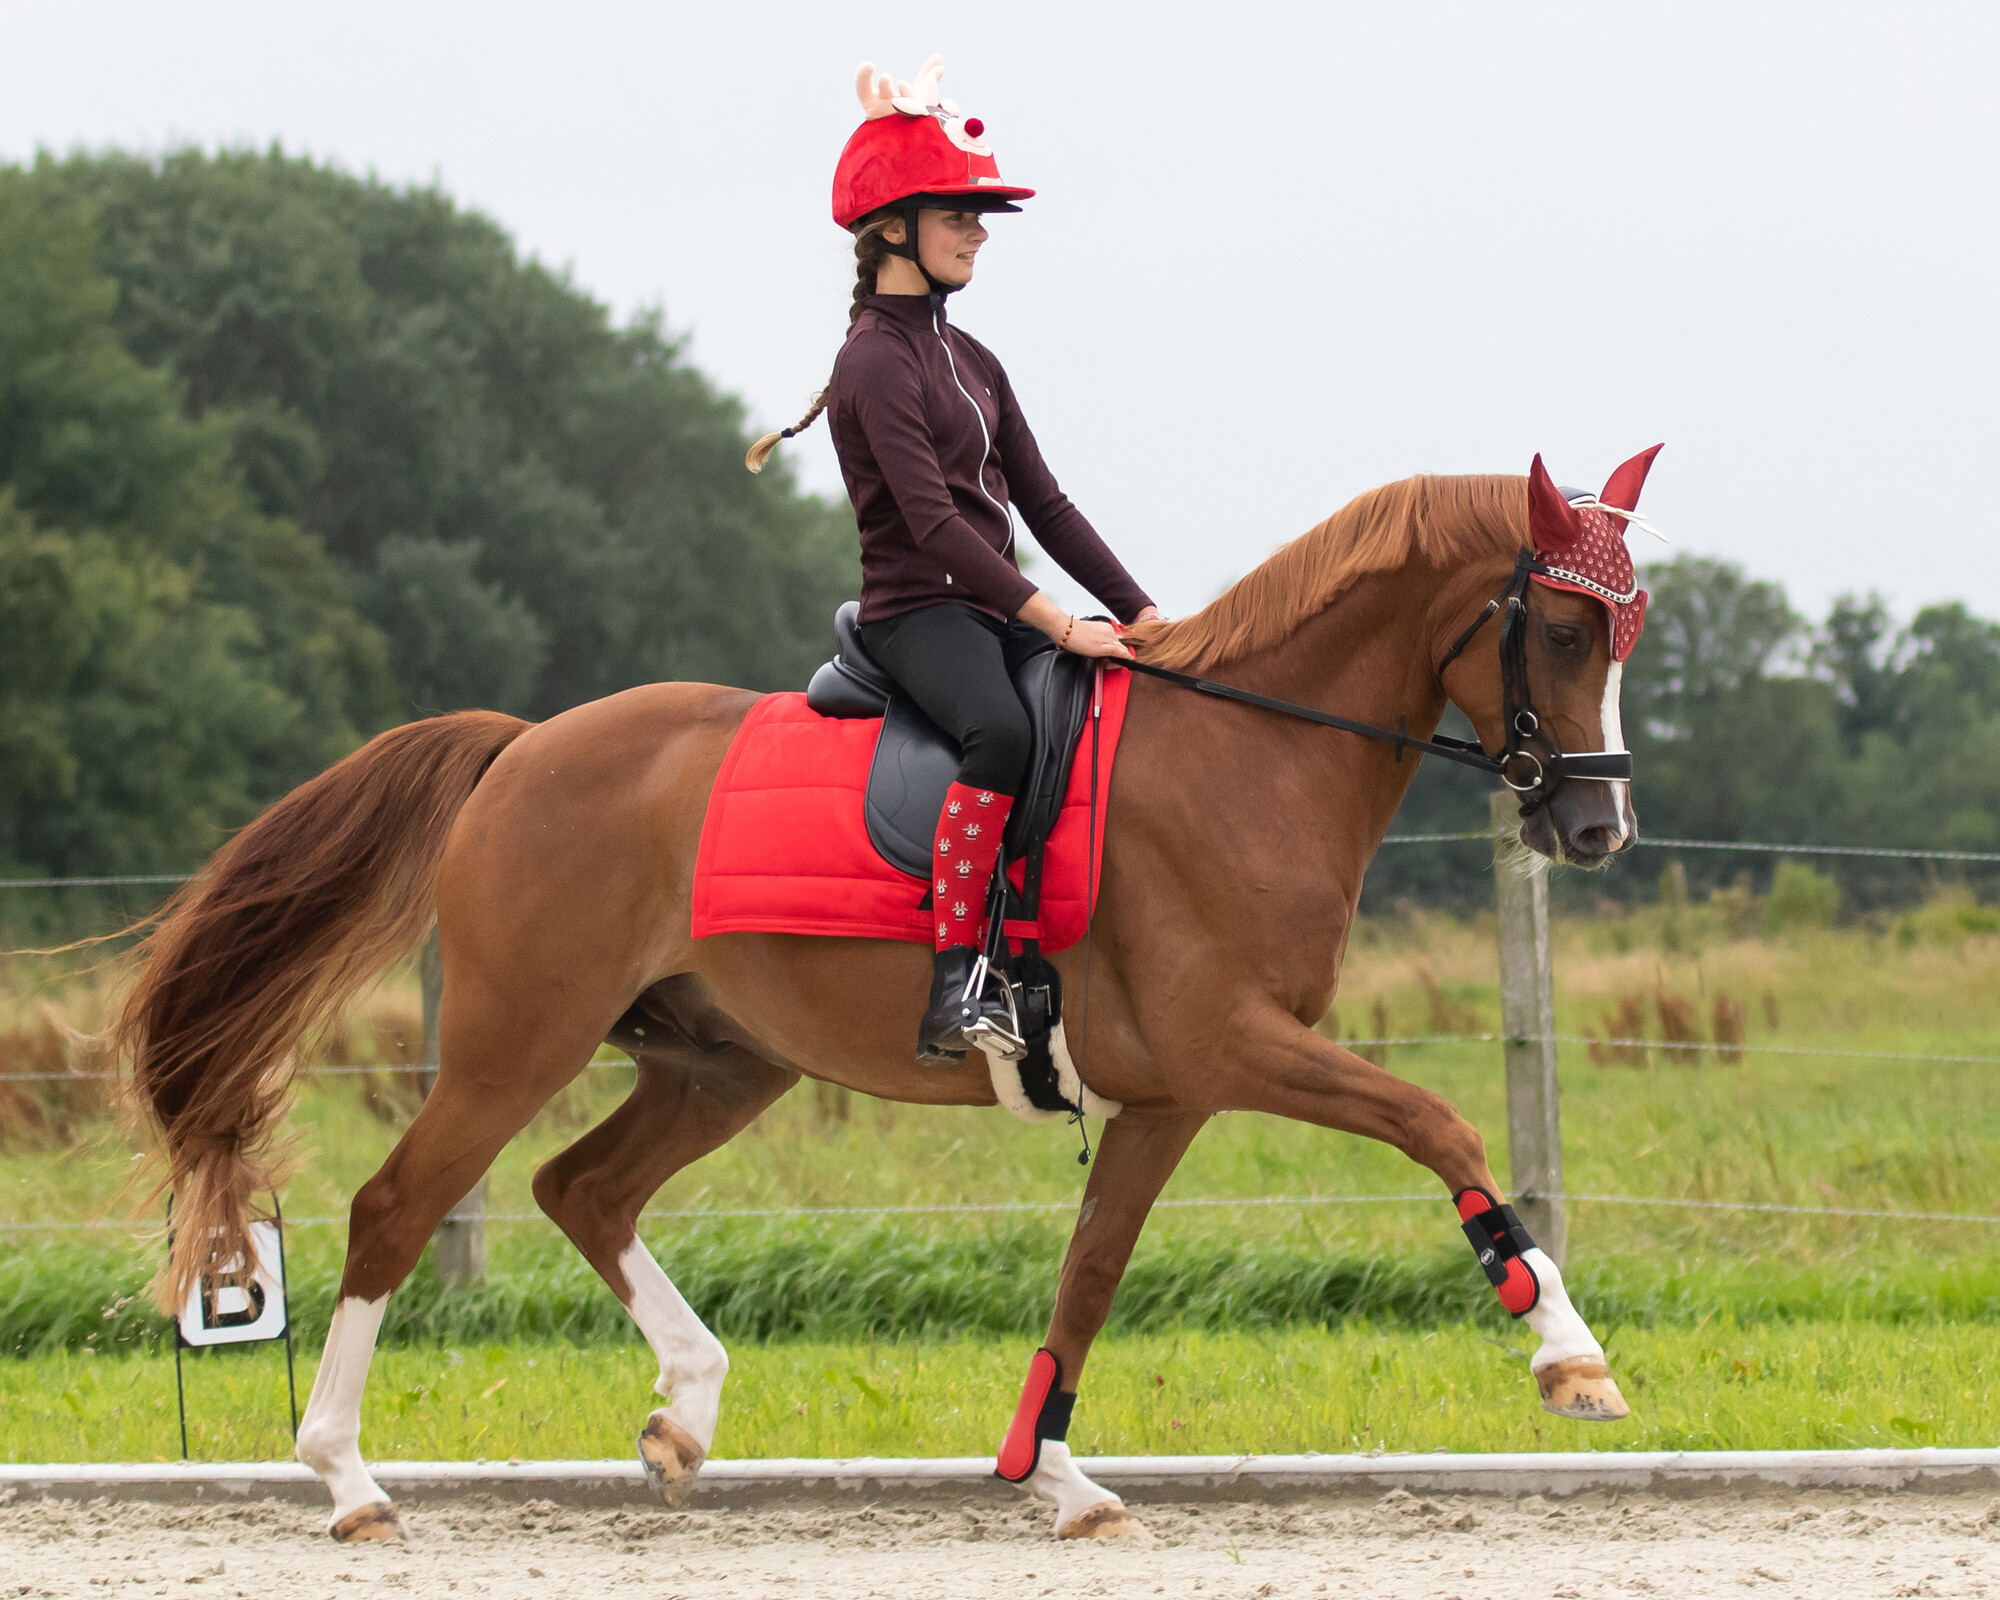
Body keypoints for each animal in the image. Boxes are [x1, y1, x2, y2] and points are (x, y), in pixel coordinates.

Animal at [121, 468, 1640, 1544]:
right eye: (1566, 629)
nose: (1597, 828)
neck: (1247, 753)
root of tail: (521, 747)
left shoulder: (1167, 1095)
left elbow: (1090, 1272)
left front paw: (1054, 1474)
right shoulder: (1234, 1046)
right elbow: (1436, 1122)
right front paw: (1565, 1351)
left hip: (722, 1064)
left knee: (581, 1188)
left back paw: (684, 1412)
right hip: (517, 1041)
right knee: (401, 1207)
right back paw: (347, 1480)